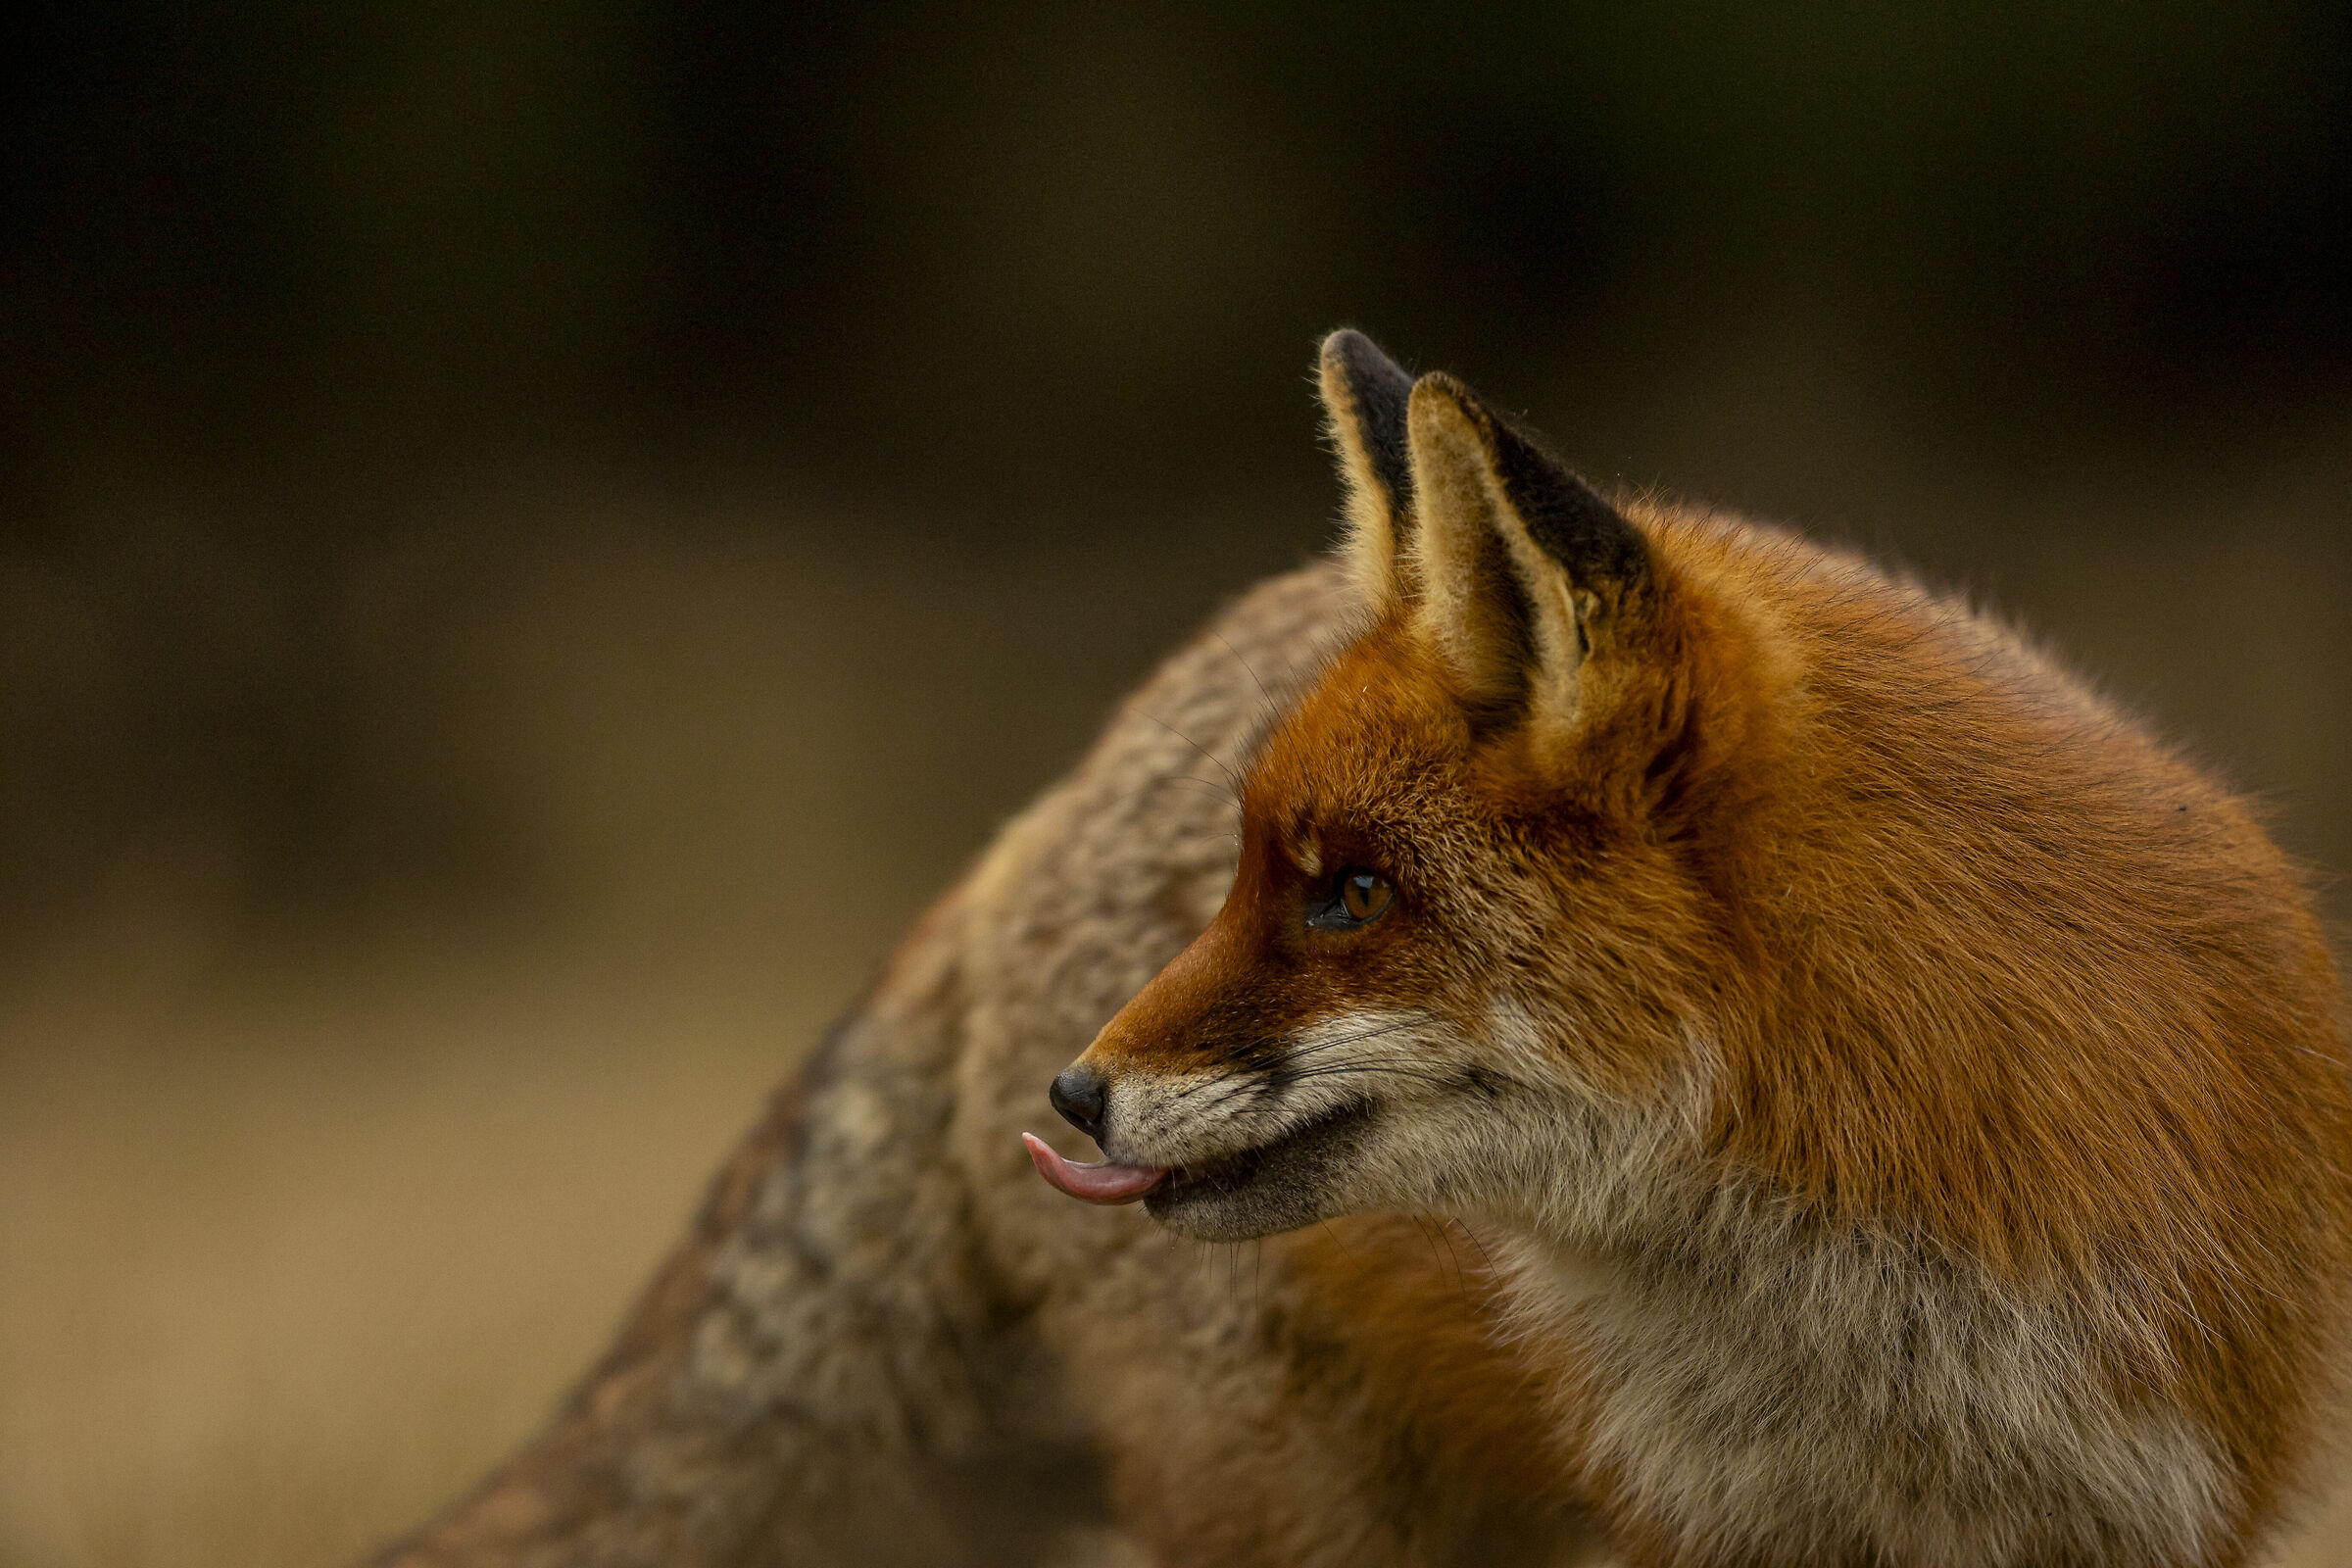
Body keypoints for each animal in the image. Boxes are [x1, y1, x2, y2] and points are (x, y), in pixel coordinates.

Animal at [366, 332, 2352, 1568]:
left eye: (1343, 896)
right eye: (1255, 879)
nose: (1074, 1096)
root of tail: (1036, 813)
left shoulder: (2165, 1500)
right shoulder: (1698, 1524)